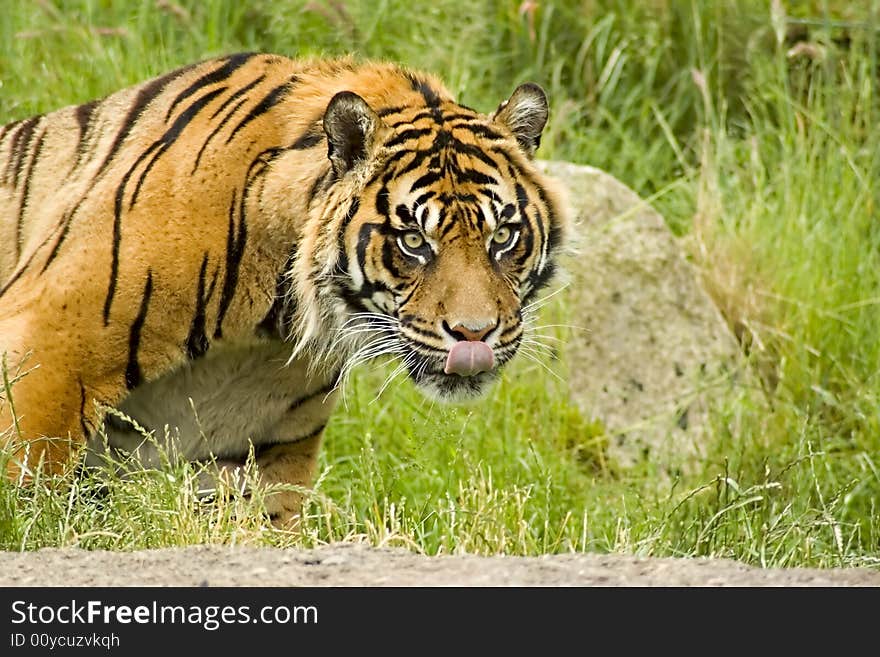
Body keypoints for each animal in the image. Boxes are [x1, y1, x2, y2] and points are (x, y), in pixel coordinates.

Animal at [0, 52, 564, 524]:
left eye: (503, 236)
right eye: (413, 241)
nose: (475, 335)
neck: (273, 325)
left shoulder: (255, 444)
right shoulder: (50, 349)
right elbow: (28, 485)